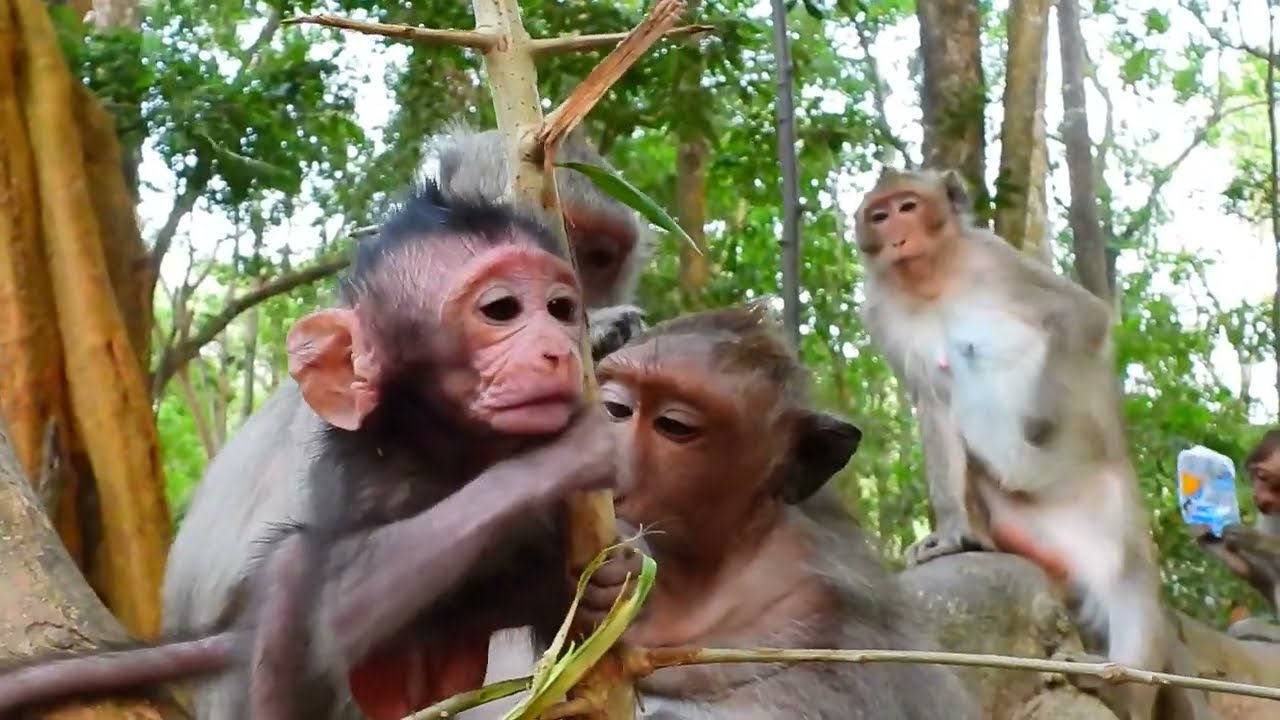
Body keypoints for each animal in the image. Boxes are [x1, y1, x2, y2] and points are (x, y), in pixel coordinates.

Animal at [0, 181, 642, 719]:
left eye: (561, 309)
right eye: (501, 309)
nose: (559, 350)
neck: (455, 448)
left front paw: (613, 579)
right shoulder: (372, 469)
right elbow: (334, 602)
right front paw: (565, 454)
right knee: (290, 583)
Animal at [854, 168, 1210, 719]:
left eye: (908, 206)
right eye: (879, 214)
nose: (896, 234)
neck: (933, 280)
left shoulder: (996, 259)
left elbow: (1081, 315)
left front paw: (1039, 420)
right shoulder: (881, 313)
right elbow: (932, 404)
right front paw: (951, 532)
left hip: (1110, 501)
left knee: (1129, 584)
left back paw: (1121, 686)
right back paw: (983, 537)